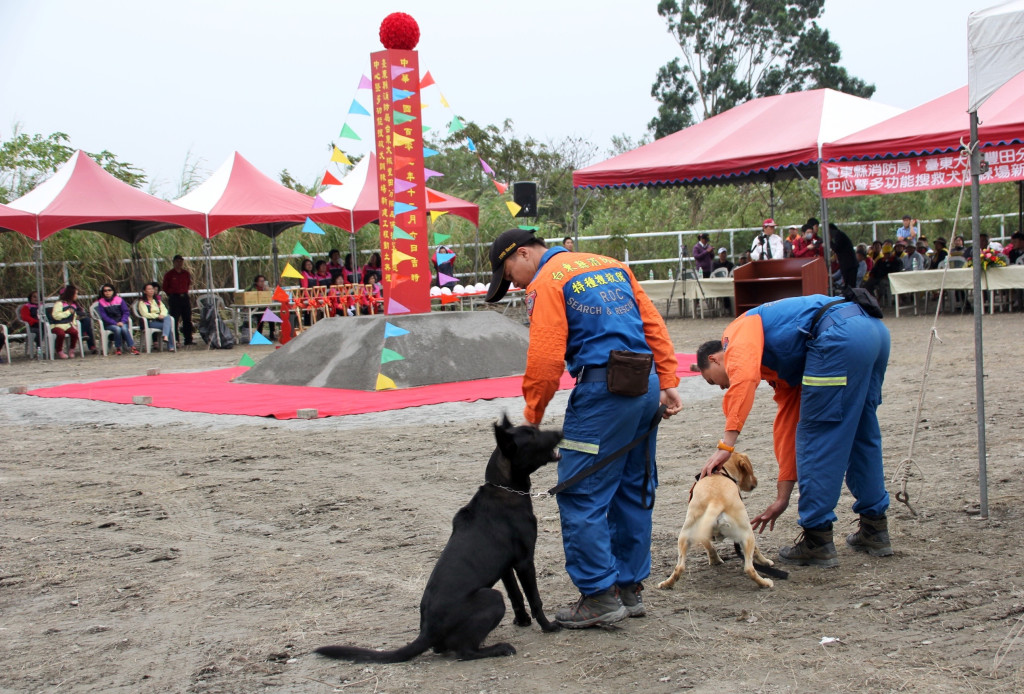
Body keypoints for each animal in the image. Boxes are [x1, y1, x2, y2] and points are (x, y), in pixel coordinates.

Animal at [315, 415, 565, 667]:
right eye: (532, 435)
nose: (561, 432)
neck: (505, 488)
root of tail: (427, 632)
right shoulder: (524, 561)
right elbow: (535, 599)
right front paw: (547, 626)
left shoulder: (506, 567)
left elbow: (516, 595)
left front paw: (522, 620)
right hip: (492, 597)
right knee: (465, 652)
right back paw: (498, 648)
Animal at [659, 450, 778, 593]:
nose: (755, 483)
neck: (719, 472)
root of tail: (716, 501)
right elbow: (757, 550)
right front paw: (766, 561)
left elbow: (709, 546)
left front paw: (715, 560)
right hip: (748, 535)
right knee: (749, 569)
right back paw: (765, 583)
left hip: (684, 536)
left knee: (679, 567)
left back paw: (666, 584)